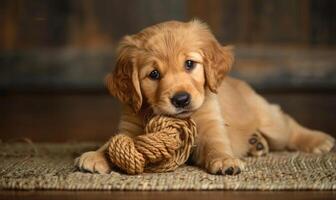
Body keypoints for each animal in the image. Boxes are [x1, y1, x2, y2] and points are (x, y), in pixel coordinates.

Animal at [75, 19, 334, 175]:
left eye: (190, 64)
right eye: (154, 74)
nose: (181, 99)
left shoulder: (211, 124)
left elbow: (217, 146)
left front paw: (225, 161)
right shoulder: (129, 128)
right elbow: (113, 143)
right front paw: (95, 156)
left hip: (269, 119)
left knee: (288, 126)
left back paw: (319, 140)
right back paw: (256, 143)